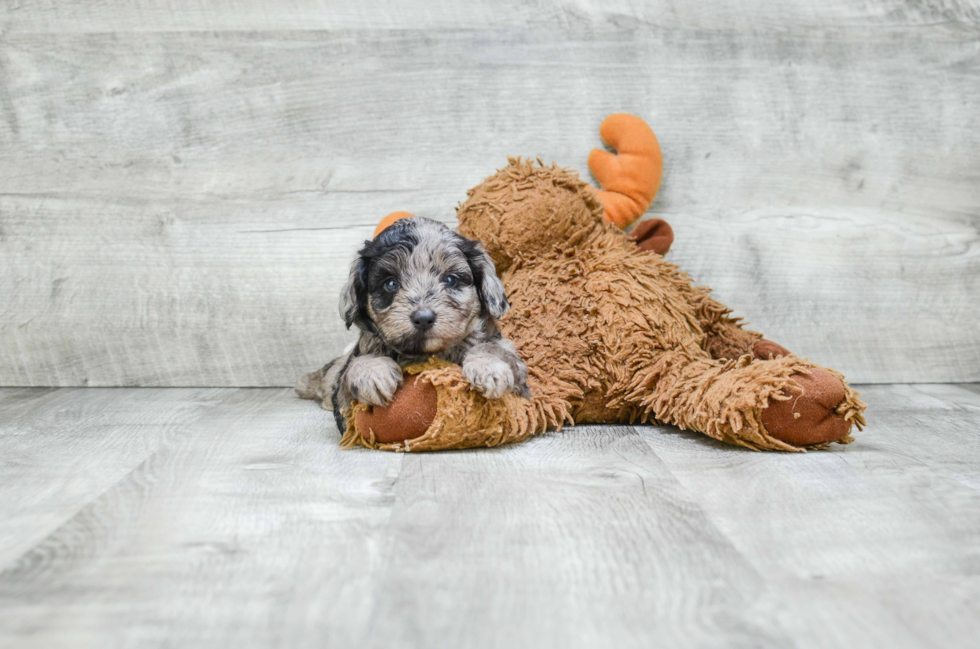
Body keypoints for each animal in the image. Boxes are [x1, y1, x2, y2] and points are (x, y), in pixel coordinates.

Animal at [296, 215, 532, 432]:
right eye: (391, 283)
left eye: (450, 279)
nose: (424, 318)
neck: (425, 353)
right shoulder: (345, 406)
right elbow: (354, 370)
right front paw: (372, 373)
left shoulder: (518, 378)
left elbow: (494, 349)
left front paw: (489, 367)